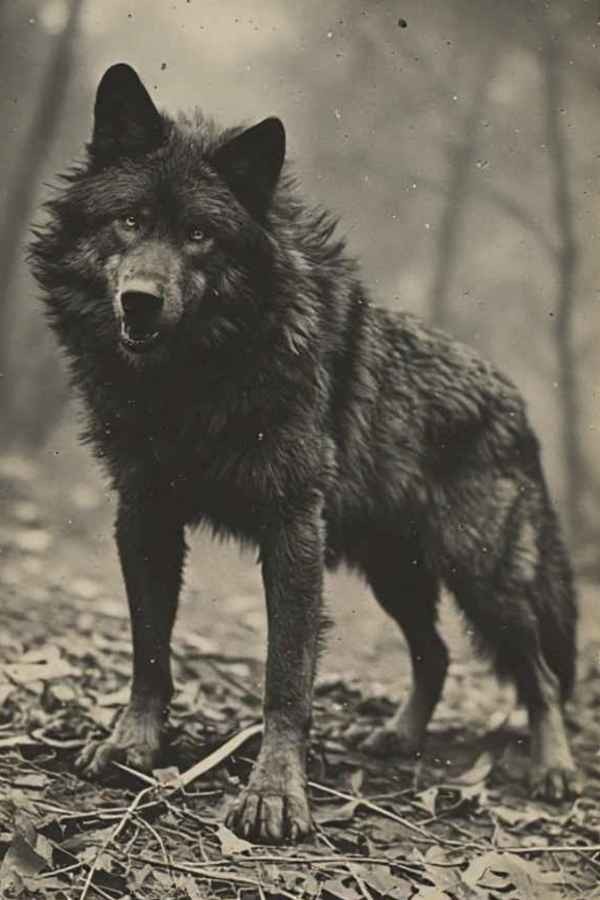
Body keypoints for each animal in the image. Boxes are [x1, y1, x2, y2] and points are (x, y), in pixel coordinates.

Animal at [30, 63, 580, 843]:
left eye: (199, 234)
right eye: (130, 221)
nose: (139, 301)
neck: (197, 381)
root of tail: (517, 398)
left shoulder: (292, 530)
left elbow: (285, 676)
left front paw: (274, 792)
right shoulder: (144, 517)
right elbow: (149, 649)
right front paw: (133, 743)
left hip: (484, 579)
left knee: (538, 672)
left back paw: (553, 764)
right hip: (396, 574)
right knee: (437, 654)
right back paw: (399, 738)